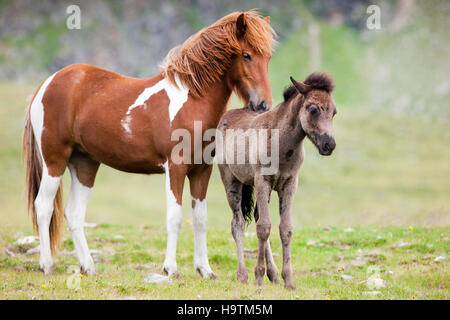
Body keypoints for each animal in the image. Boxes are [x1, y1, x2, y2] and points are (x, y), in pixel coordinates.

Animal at [22, 10, 276, 278]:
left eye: (268, 57)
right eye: (246, 54)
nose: (263, 105)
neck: (191, 100)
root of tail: (46, 85)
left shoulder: (201, 170)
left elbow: (200, 219)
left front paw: (205, 270)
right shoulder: (175, 168)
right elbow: (175, 217)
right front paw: (171, 269)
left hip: (84, 165)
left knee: (74, 213)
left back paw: (88, 267)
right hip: (55, 161)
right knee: (43, 207)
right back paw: (47, 265)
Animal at [218, 73, 338, 290]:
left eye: (334, 112)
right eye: (313, 109)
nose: (329, 145)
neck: (281, 145)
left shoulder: (290, 184)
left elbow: (285, 229)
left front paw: (288, 280)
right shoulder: (262, 181)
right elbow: (264, 228)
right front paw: (258, 278)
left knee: (256, 217)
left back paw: (273, 275)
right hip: (231, 180)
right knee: (237, 223)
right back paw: (242, 274)